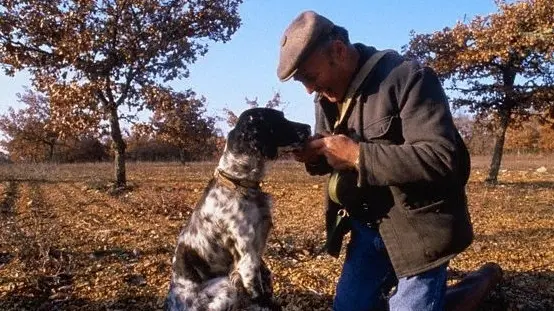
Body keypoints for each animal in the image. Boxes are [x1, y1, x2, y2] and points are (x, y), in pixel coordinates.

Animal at [164, 108, 310, 311]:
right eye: (279, 119)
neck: (239, 183)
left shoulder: (257, 252)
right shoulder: (246, 258)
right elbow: (259, 298)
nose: (309, 128)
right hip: (226, 285)